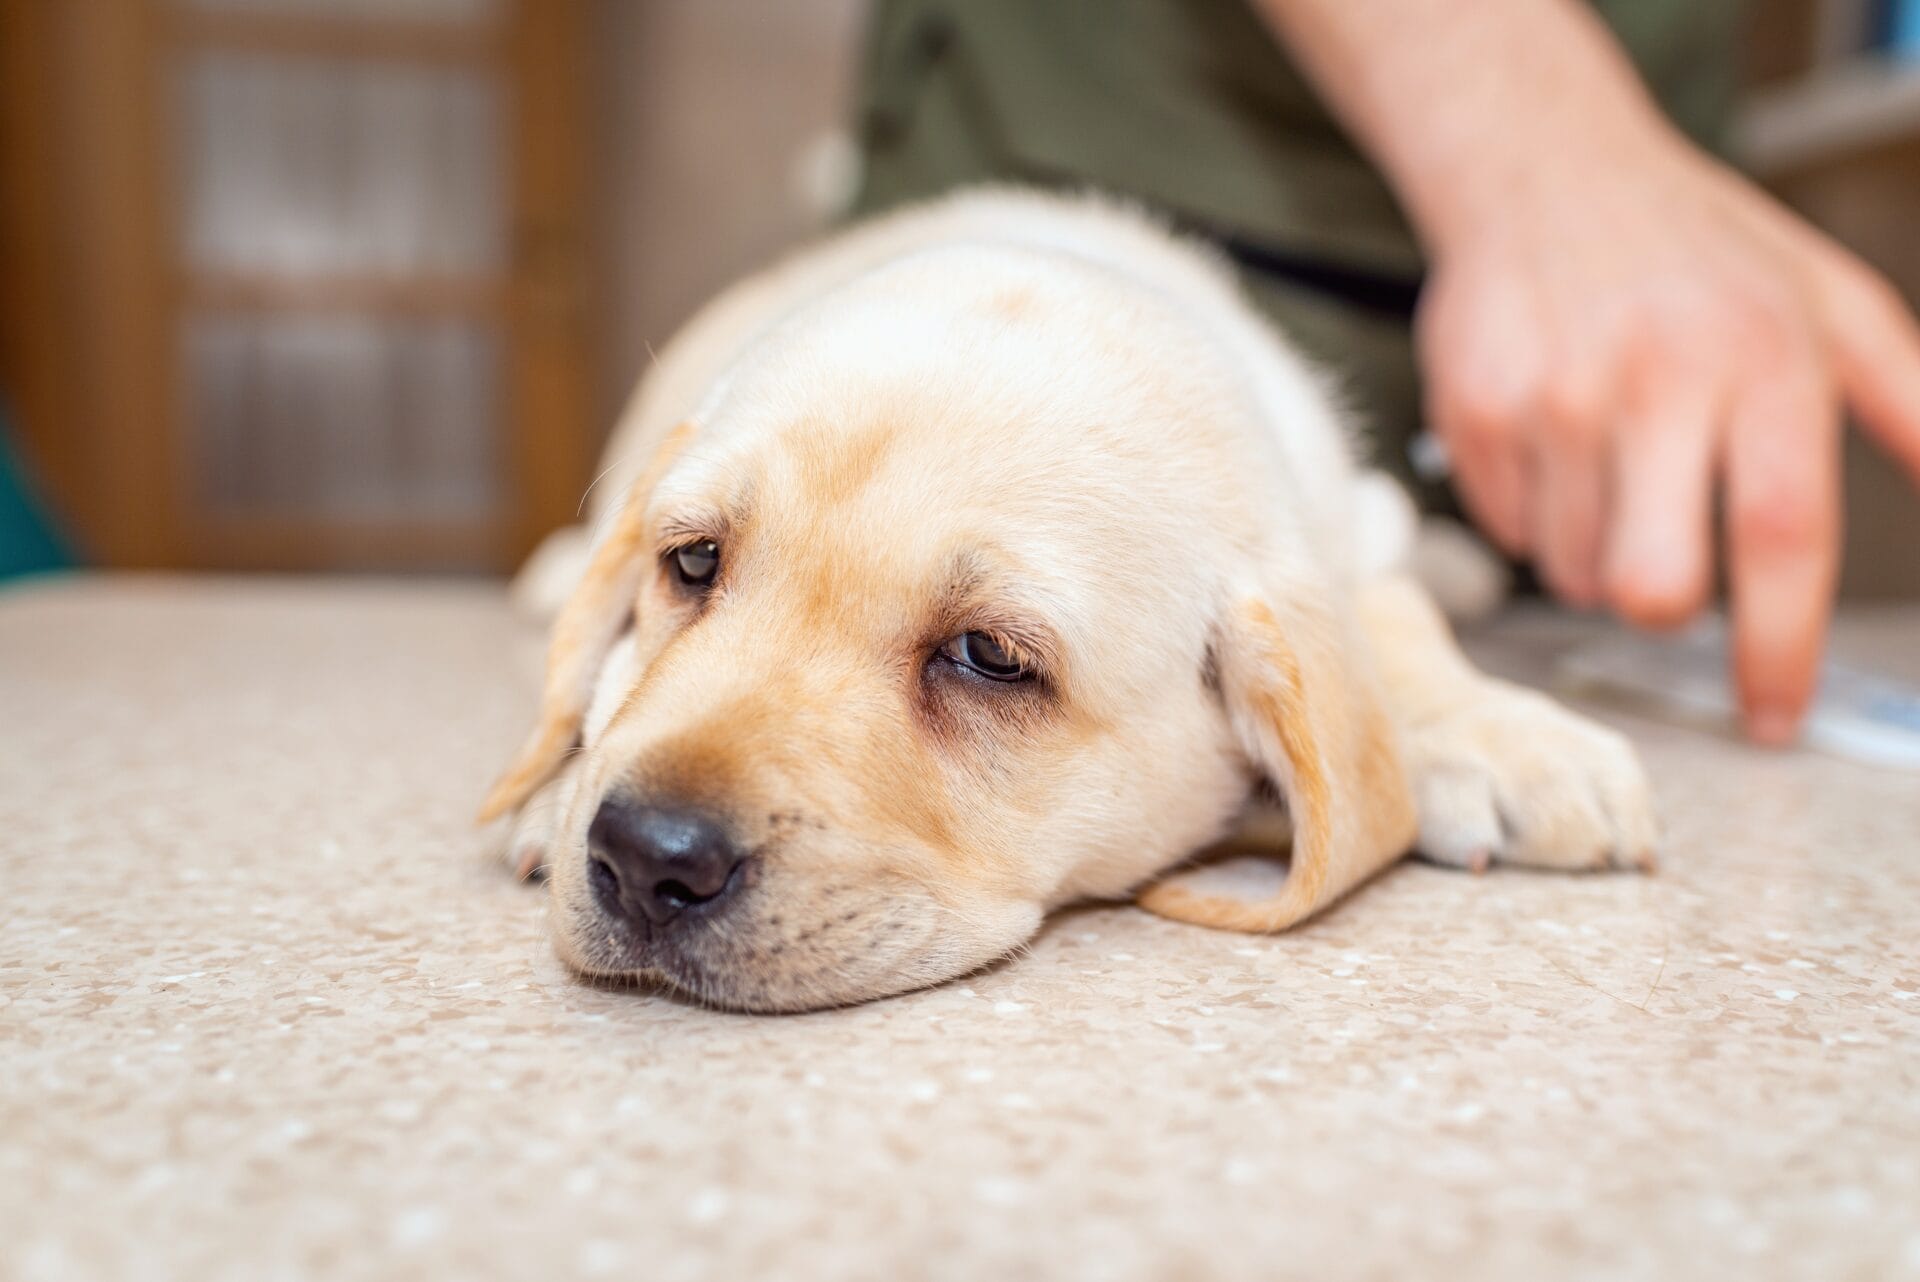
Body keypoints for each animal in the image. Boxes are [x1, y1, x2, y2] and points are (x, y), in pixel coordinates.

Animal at [487, 189, 1658, 1013]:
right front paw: (557, 792)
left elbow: (1393, 616)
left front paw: (1507, 736)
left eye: (990, 659)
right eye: (693, 563)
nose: (647, 860)